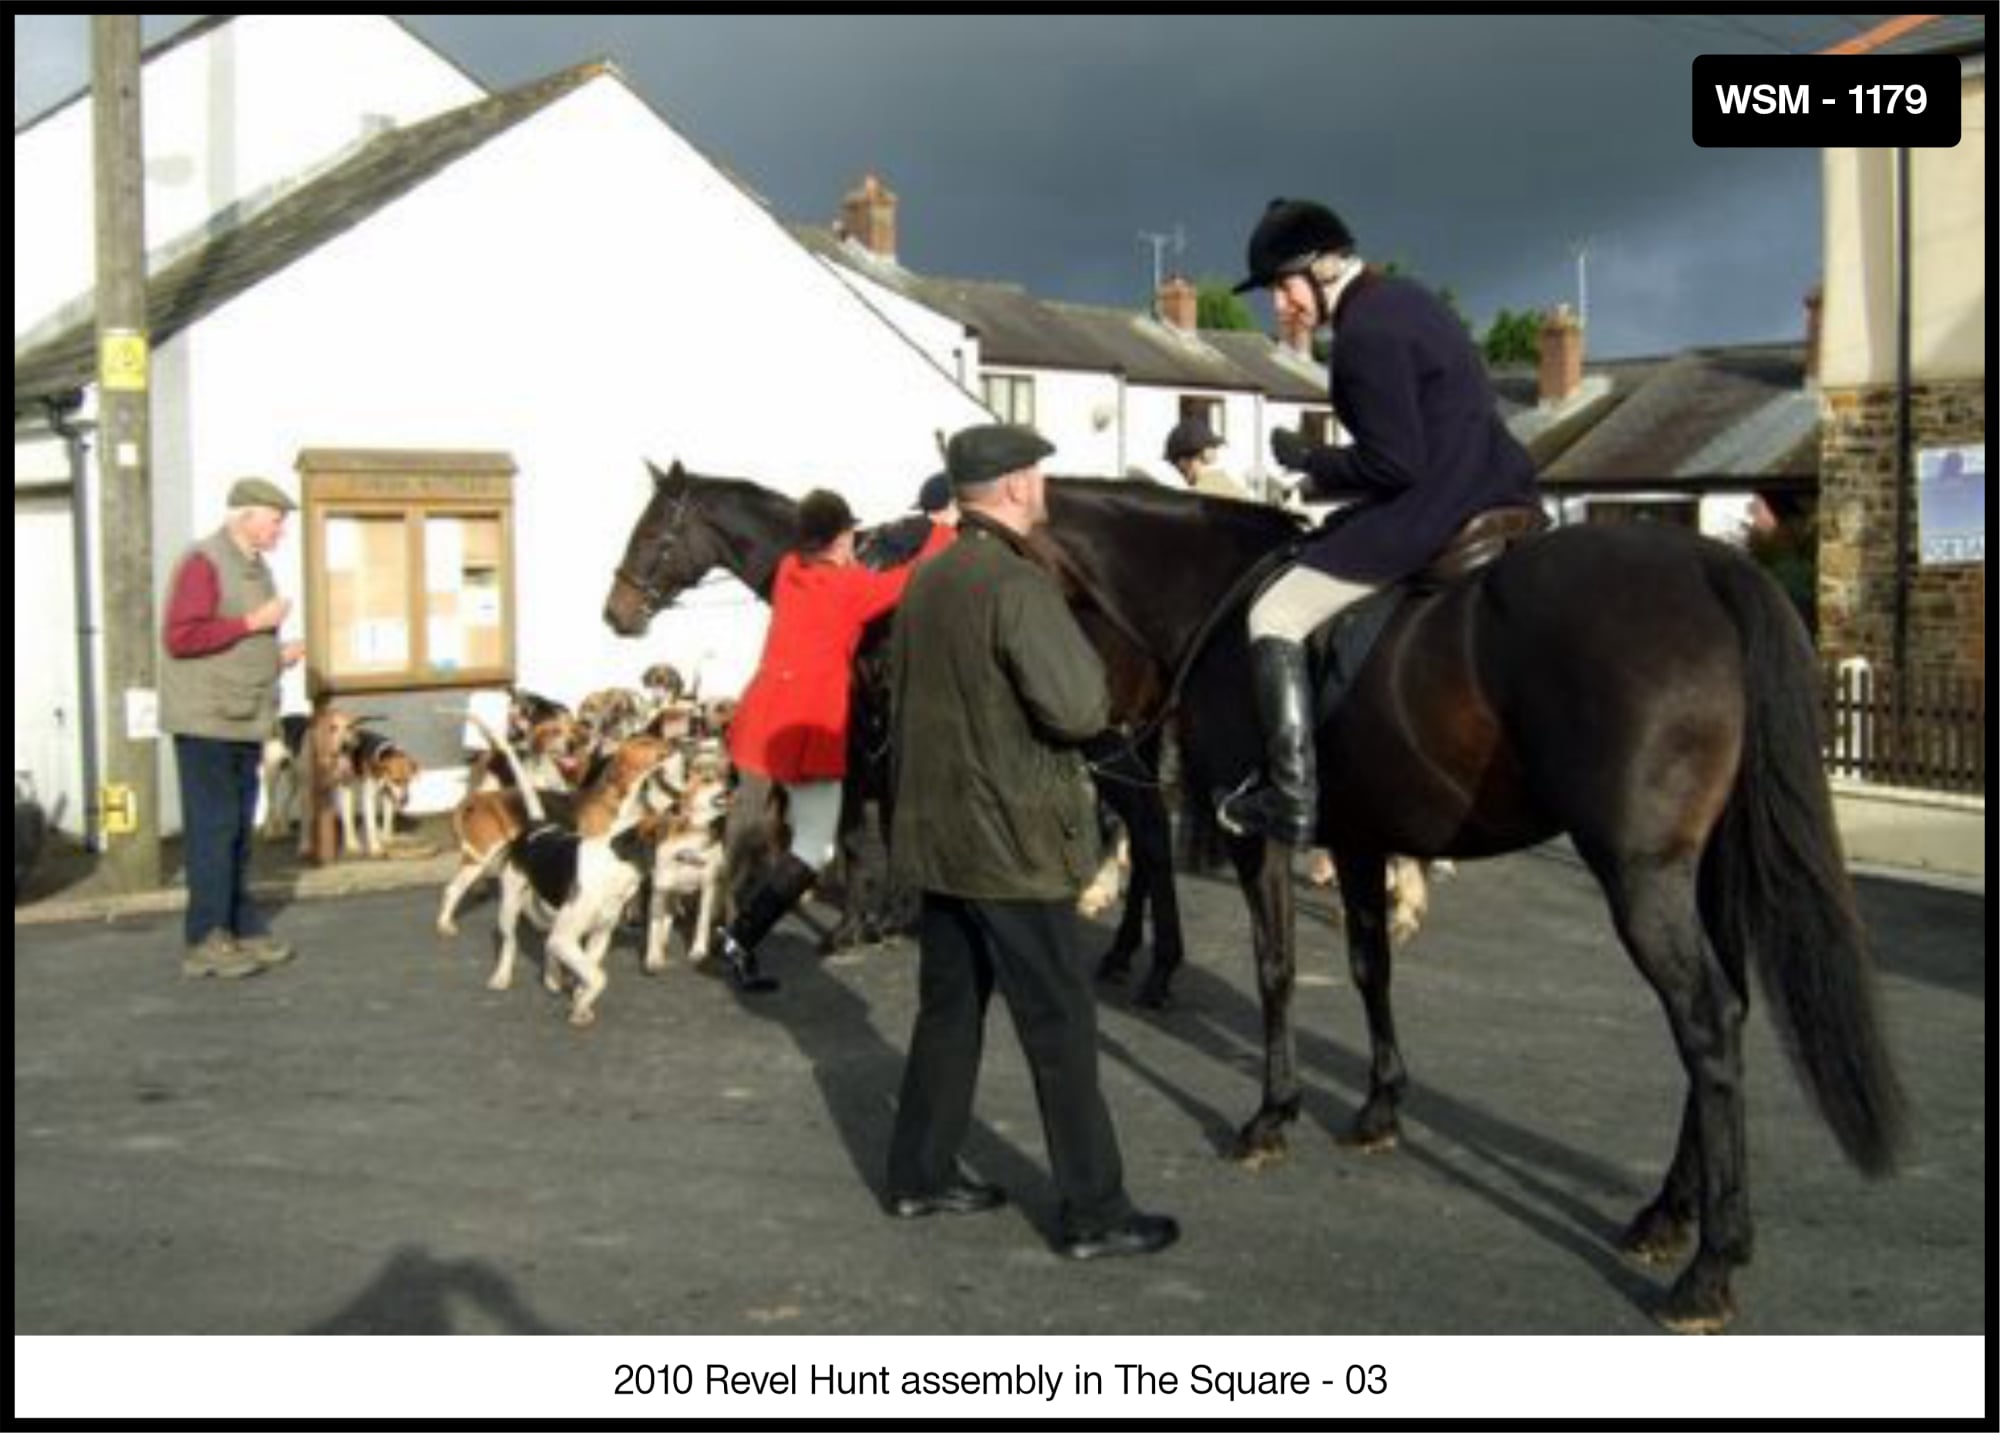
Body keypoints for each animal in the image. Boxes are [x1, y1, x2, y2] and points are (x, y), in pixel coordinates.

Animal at [592, 464, 1184, 1000]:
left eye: (651, 534)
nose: (616, 613)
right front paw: (886, 917)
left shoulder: (862, 752)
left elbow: (863, 836)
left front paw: (862, 924)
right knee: (1147, 826)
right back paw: (1127, 952)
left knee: (1147, 826)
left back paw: (1152, 961)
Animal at [1048, 478, 1904, 1328]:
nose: (1096, 726)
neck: (1213, 593)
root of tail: (1711, 567)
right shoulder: (1359, 837)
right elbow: (1369, 966)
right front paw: (1379, 1108)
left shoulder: (1258, 836)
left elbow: (1277, 970)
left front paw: (1271, 1116)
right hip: (1706, 869)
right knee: (1729, 1015)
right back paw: (1667, 1213)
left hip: (1642, 875)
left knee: (1708, 1023)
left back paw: (1709, 1266)